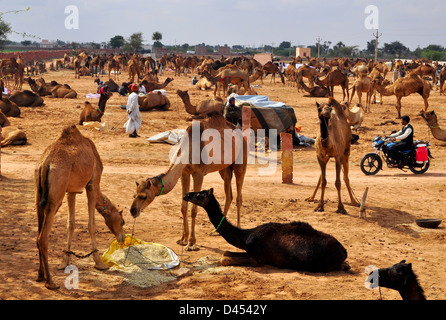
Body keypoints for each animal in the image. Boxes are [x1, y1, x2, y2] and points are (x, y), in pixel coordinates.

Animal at [34, 125, 125, 290]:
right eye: (122, 221)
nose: (122, 237)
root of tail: (45, 164)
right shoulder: (92, 183)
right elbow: (91, 224)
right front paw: (100, 263)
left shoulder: (71, 190)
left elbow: (70, 224)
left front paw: (64, 262)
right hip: (56, 195)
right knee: (42, 238)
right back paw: (51, 282)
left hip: (39, 194)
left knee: (38, 233)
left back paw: (40, 275)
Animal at [130, 114, 247, 251]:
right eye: (134, 195)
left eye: (143, 196)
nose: (132, 211)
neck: (187, 150)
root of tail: (239, 132)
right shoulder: (184, 173)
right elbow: (183, 207)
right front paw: (182, 239)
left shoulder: (199, 174)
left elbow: (193, 210)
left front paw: (191, 243)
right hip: (224, 168)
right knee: (229, 194)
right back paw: (216, 231)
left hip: (240, 161)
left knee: (239, 196)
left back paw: (238, 230)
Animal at [183, 189, 350, 274]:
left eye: (199, 194)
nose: (186, 195)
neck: (246, 236)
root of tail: (344, 251)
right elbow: (226, 253)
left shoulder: (258, 259)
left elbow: (224, 259)